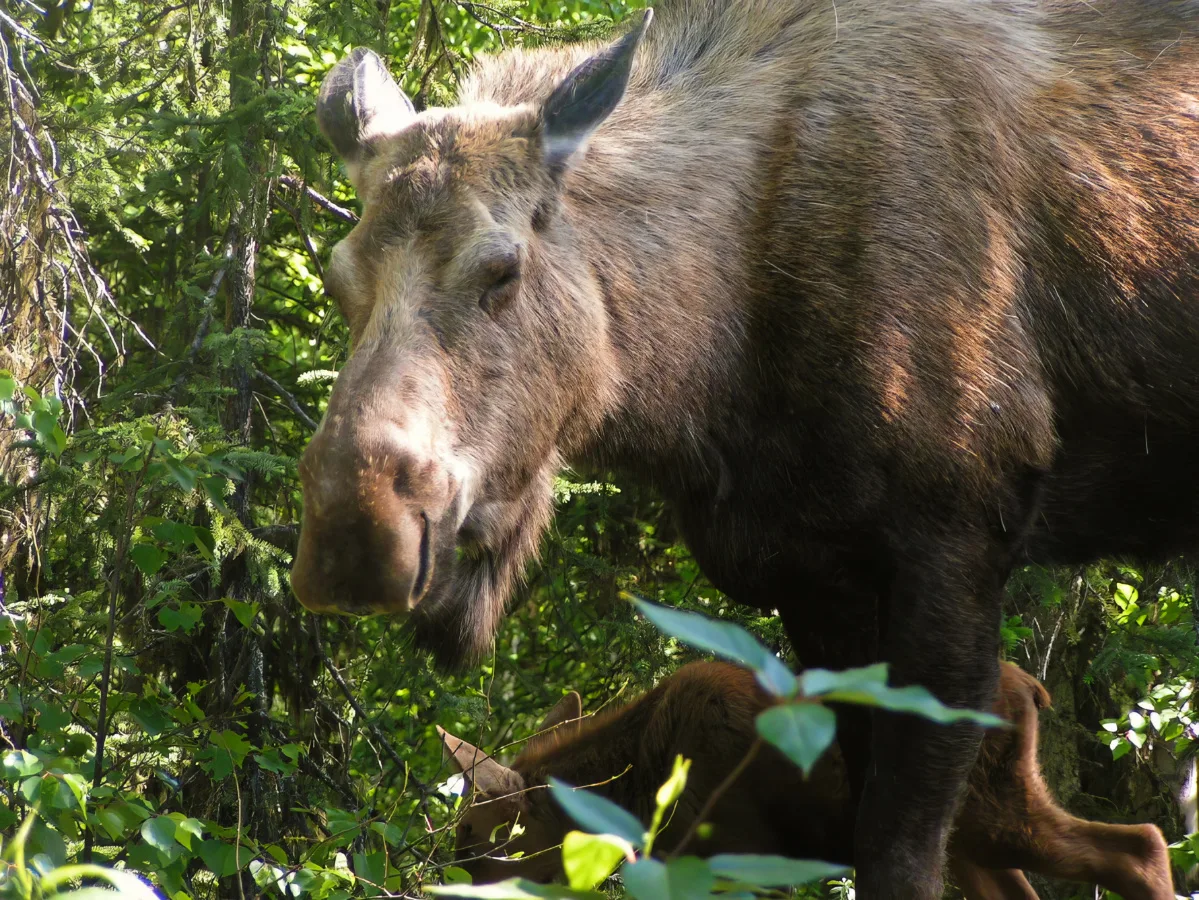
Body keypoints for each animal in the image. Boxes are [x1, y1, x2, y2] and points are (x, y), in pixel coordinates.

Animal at [441, 656, 1170, 896]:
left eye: (476, 834)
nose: (446, 874)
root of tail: (1034, 691)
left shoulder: (738, 847)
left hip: (990, 811)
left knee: (1140, 844)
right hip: (965, 838)